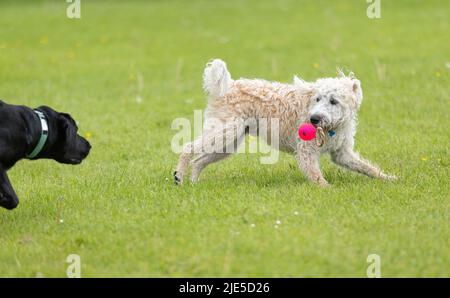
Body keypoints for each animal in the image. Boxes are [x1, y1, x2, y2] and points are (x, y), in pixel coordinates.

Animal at [174, 59, 396, 185]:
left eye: (333, 101)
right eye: (317, 99)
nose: (314, 119)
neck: (330, 128)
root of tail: (228, 86)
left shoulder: (342, 154)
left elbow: (368, 168)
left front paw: (389, 179)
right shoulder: (306, 153)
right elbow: (316, 177)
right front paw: (328, 190)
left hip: (227, 144)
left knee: (198, 161)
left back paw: (193, 183)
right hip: (224, 133)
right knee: (188, 148)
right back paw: (179, 177)